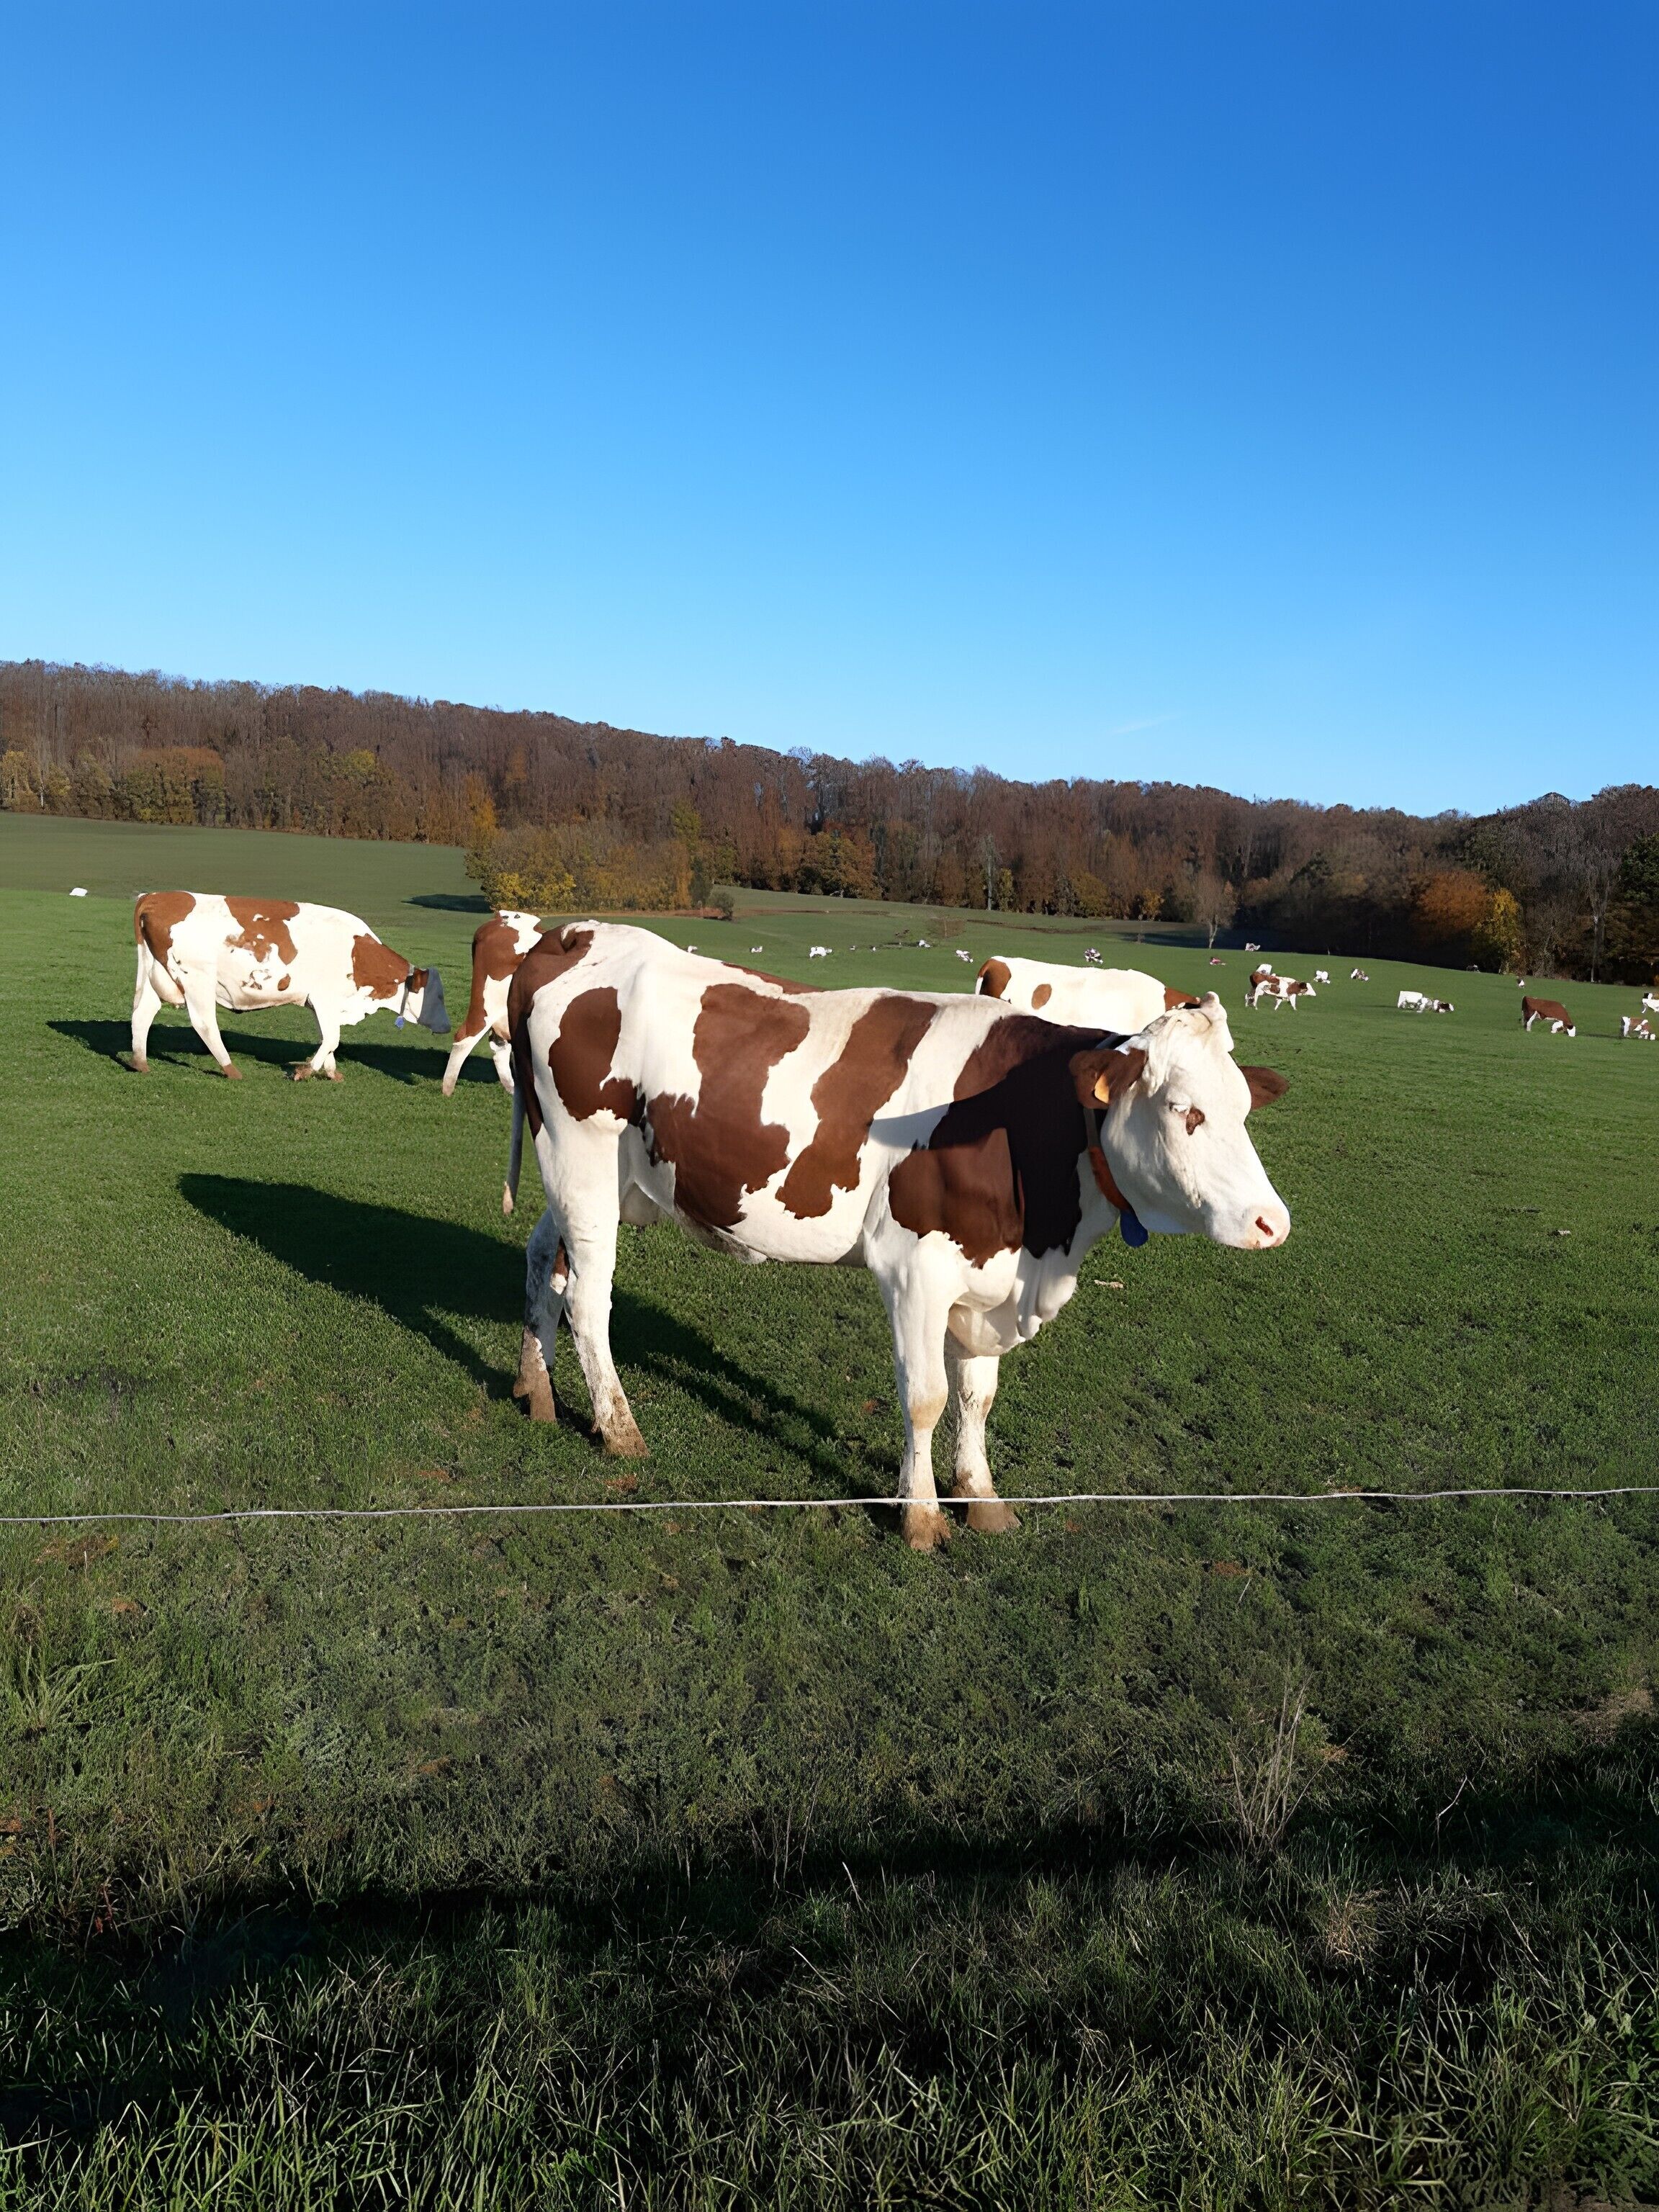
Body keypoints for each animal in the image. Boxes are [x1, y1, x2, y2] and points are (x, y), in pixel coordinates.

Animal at [130, 892, 448, 1079]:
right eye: (438, 997)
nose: (447, 1026)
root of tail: (155, 896)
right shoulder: (326, 999)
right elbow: (332, 1038)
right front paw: (306, 1071)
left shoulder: (320, 1003)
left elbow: (327, 1037)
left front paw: (331, 1072)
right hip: (197, 978)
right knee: (204, 1023)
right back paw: (231, 1069)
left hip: (155, 974)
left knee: (141, 1014)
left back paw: (140, 1062)